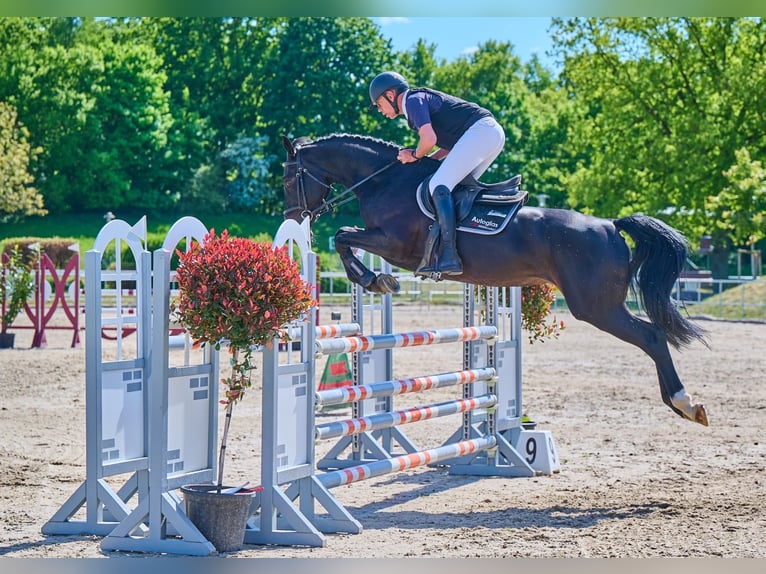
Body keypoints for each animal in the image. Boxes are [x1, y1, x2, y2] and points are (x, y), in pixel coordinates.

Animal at [281, 133, 709, 427]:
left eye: (287, 179)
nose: (294, 217)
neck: (383, 181)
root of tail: (610, 225)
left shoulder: (393, 243)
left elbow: (344, 236)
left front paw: (372, 279)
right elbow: (345, 237)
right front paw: (375, 280)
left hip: (596, 307)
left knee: (651, 337)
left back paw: (685, 403)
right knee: (653, 336)